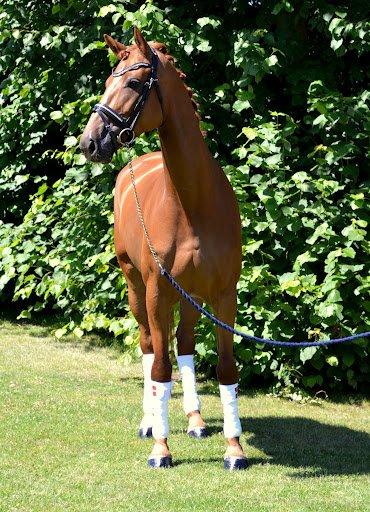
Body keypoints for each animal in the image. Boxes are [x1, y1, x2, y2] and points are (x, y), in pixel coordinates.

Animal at [81, 27, 249, 468]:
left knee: (184, 346)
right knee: (148, 345)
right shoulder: (158, 291)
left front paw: (234, 448)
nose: (90, 142)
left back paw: (195, 420)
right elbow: (159, 366)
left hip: (189, 296)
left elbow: (225, 368)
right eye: (107, 82)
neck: (193, 204)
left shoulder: (224, 295)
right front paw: (161, 447)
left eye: (133, 83)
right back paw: (149, 422)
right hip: (135, 285)